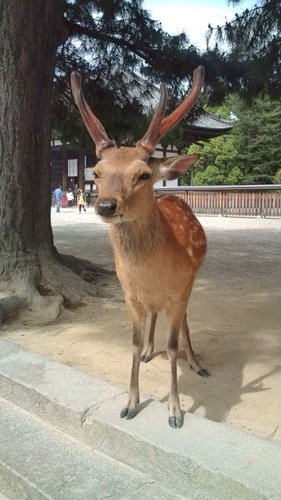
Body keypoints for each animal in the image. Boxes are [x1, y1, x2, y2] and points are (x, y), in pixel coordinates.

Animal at [70, 64, 208, 428]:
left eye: (144, 174)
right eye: (97, 172)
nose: (105, 205)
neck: (152, 275)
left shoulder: (178, 290)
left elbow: (172, 347)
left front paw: (175, 412)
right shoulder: (129, 294)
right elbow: (131, 344)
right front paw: (130, 403)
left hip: (192, 281)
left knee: (185, 320)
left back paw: (196, 363)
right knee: (153, 315)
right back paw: (149, 351)